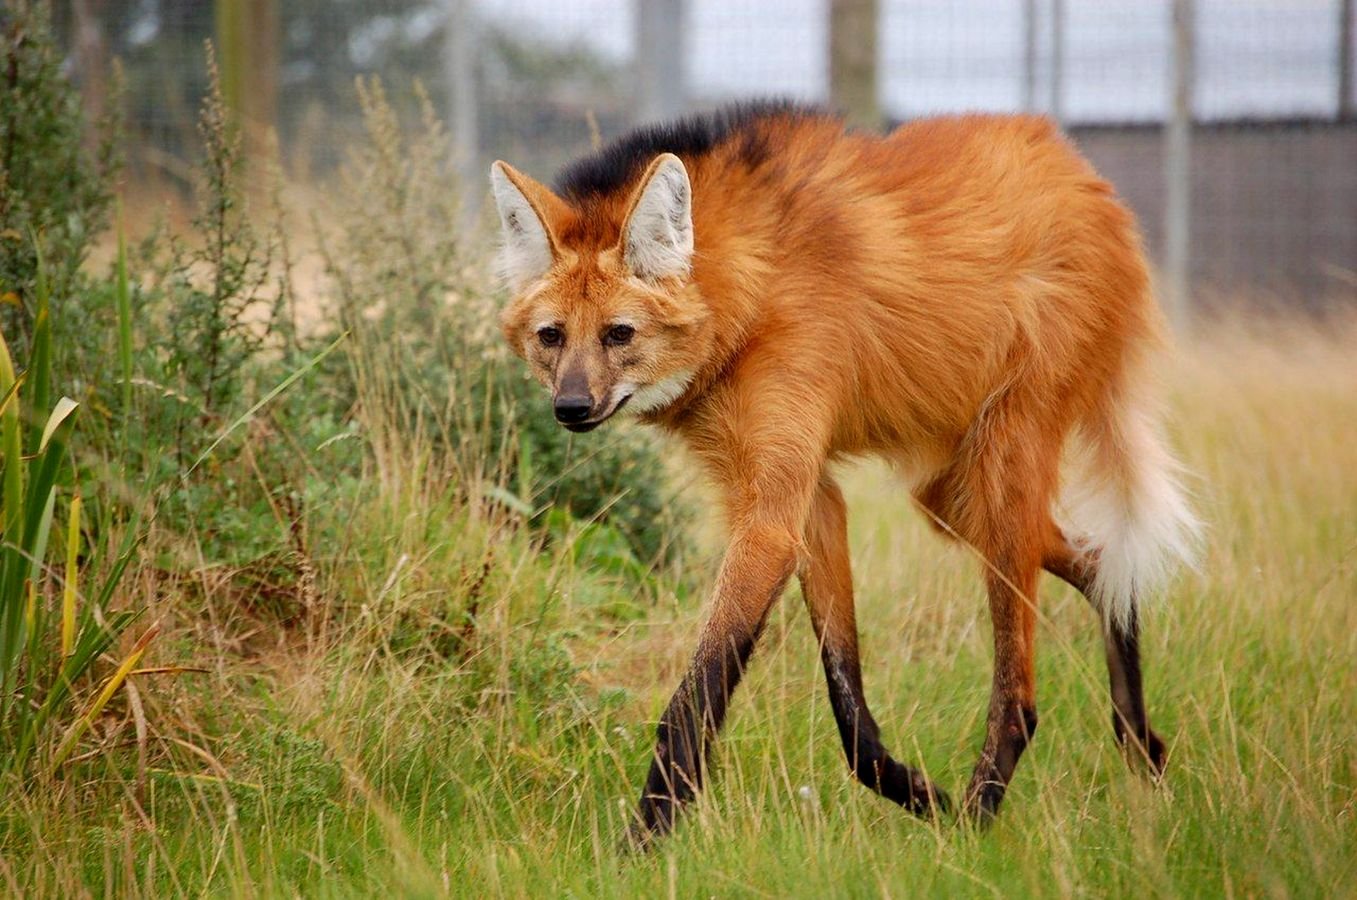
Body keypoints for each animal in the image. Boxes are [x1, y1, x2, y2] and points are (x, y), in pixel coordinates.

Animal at [488, 101, 1199, 847]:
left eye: (618, 334)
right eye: (552, 337)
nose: (569, 408)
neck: (749, 293)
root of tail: (1086, 179)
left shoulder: (771, 518)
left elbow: (692, 698)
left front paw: (642, 844)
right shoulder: (809, 497)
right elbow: (849, 707)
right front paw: (919, 793)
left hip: (1002, 463)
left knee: (1020, 699)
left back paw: (977, 823)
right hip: (951, 495)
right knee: (1101, 564)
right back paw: (1141, 749)